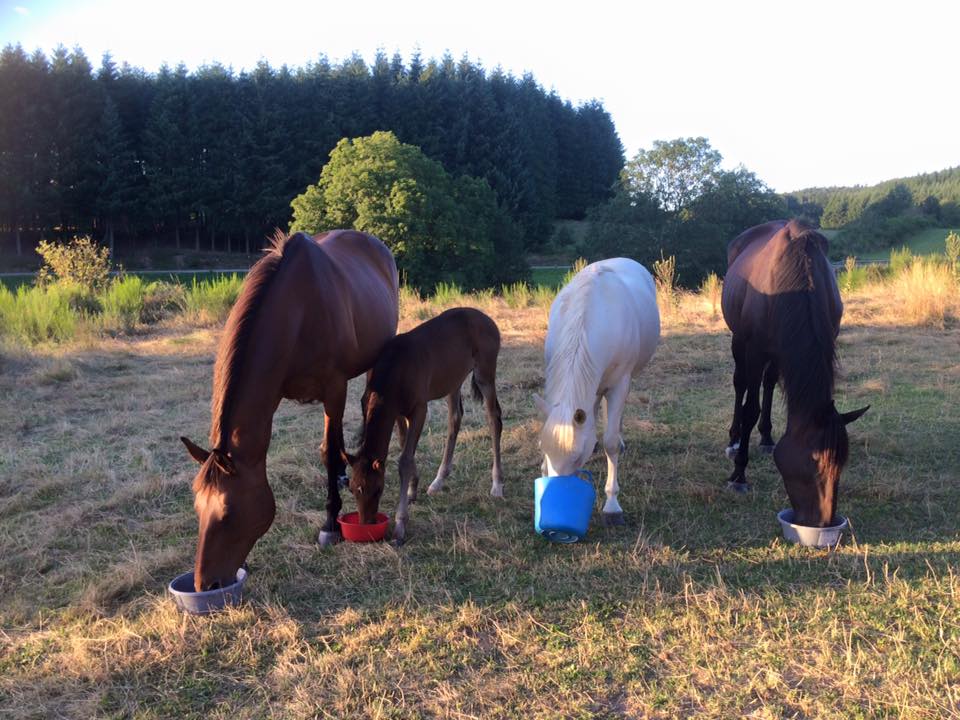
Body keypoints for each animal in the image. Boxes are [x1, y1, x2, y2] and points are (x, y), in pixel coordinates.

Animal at [180, 229, 399, 590]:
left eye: (228, 515)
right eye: (197, 508)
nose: (205, 585)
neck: (298, 311)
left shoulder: (334, 389)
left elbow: (330, 452)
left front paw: (330, 525)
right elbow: (328, 450)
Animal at [342, 307, 503, 544]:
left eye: (378, 489)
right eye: (353, 489)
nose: (367, 523)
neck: (394, 370)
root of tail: (488, 319)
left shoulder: (419, 409)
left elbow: (404, 460)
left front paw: (400, 525)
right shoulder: (397, 412)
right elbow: (404, 446)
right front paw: (412, 489)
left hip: (485, 373)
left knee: (494, 419)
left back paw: (497, 484)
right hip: (453, 379)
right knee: (455, 419)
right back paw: (438, 480)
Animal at [721, 219, 868, 526]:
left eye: (842, 465)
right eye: (813, 466)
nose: (822, 523)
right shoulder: (755, 350)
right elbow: (750, 407)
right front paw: (739, 475)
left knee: (768, 382)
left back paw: (766, 437)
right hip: (739, 341)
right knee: (741, 384)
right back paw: (735, 438)